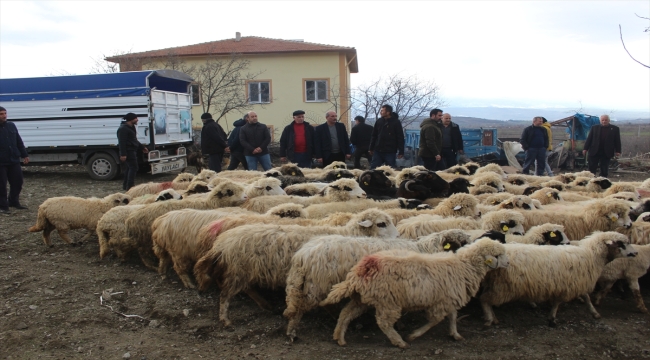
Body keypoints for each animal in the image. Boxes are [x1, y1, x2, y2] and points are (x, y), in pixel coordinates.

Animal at [318, 238, 506, 348]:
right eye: (498, 255)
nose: (508, 263)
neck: (464, 266)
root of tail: (361, 270)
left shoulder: (449, 298)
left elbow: (452, 317)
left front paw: (455, 334)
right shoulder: (441, 302)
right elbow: (435, 320)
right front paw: (413, 335)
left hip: (363, 299)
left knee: (346, 313)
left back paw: (339, 337)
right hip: (387, 301)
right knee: (383, 323)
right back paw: (399, 342)